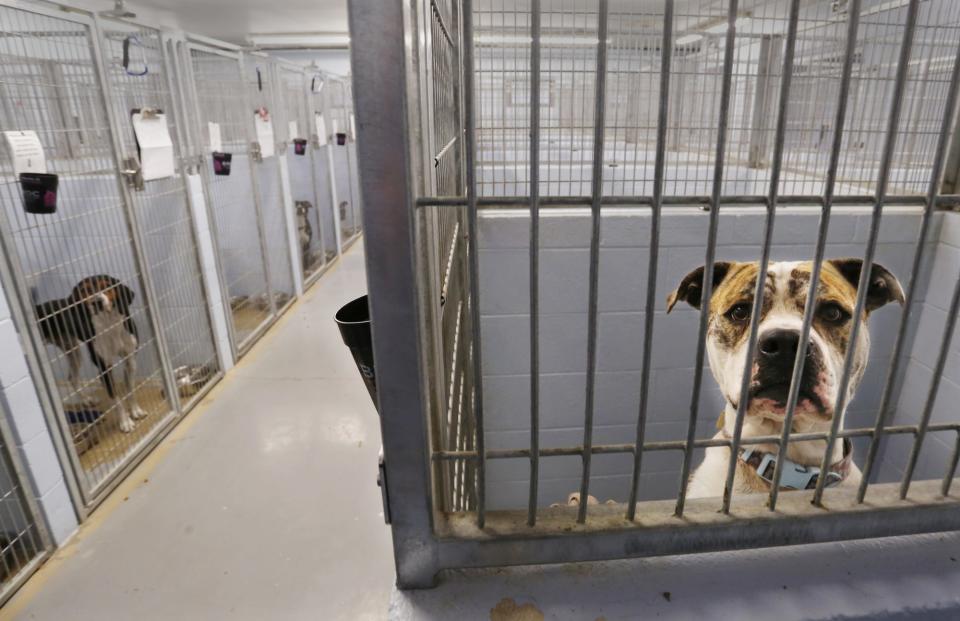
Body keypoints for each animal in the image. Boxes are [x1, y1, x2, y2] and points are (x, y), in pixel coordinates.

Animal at [36, 274, 146, 434]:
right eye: (85, 290)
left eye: (106, 285)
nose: (96, 301)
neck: (109, 324)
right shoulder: (104, 368)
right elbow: (116, 398)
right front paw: (125, 422)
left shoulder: (130, 359)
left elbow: (130, 389)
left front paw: (135, 411)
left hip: (73, 351)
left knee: (72, 378)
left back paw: (87, 400)